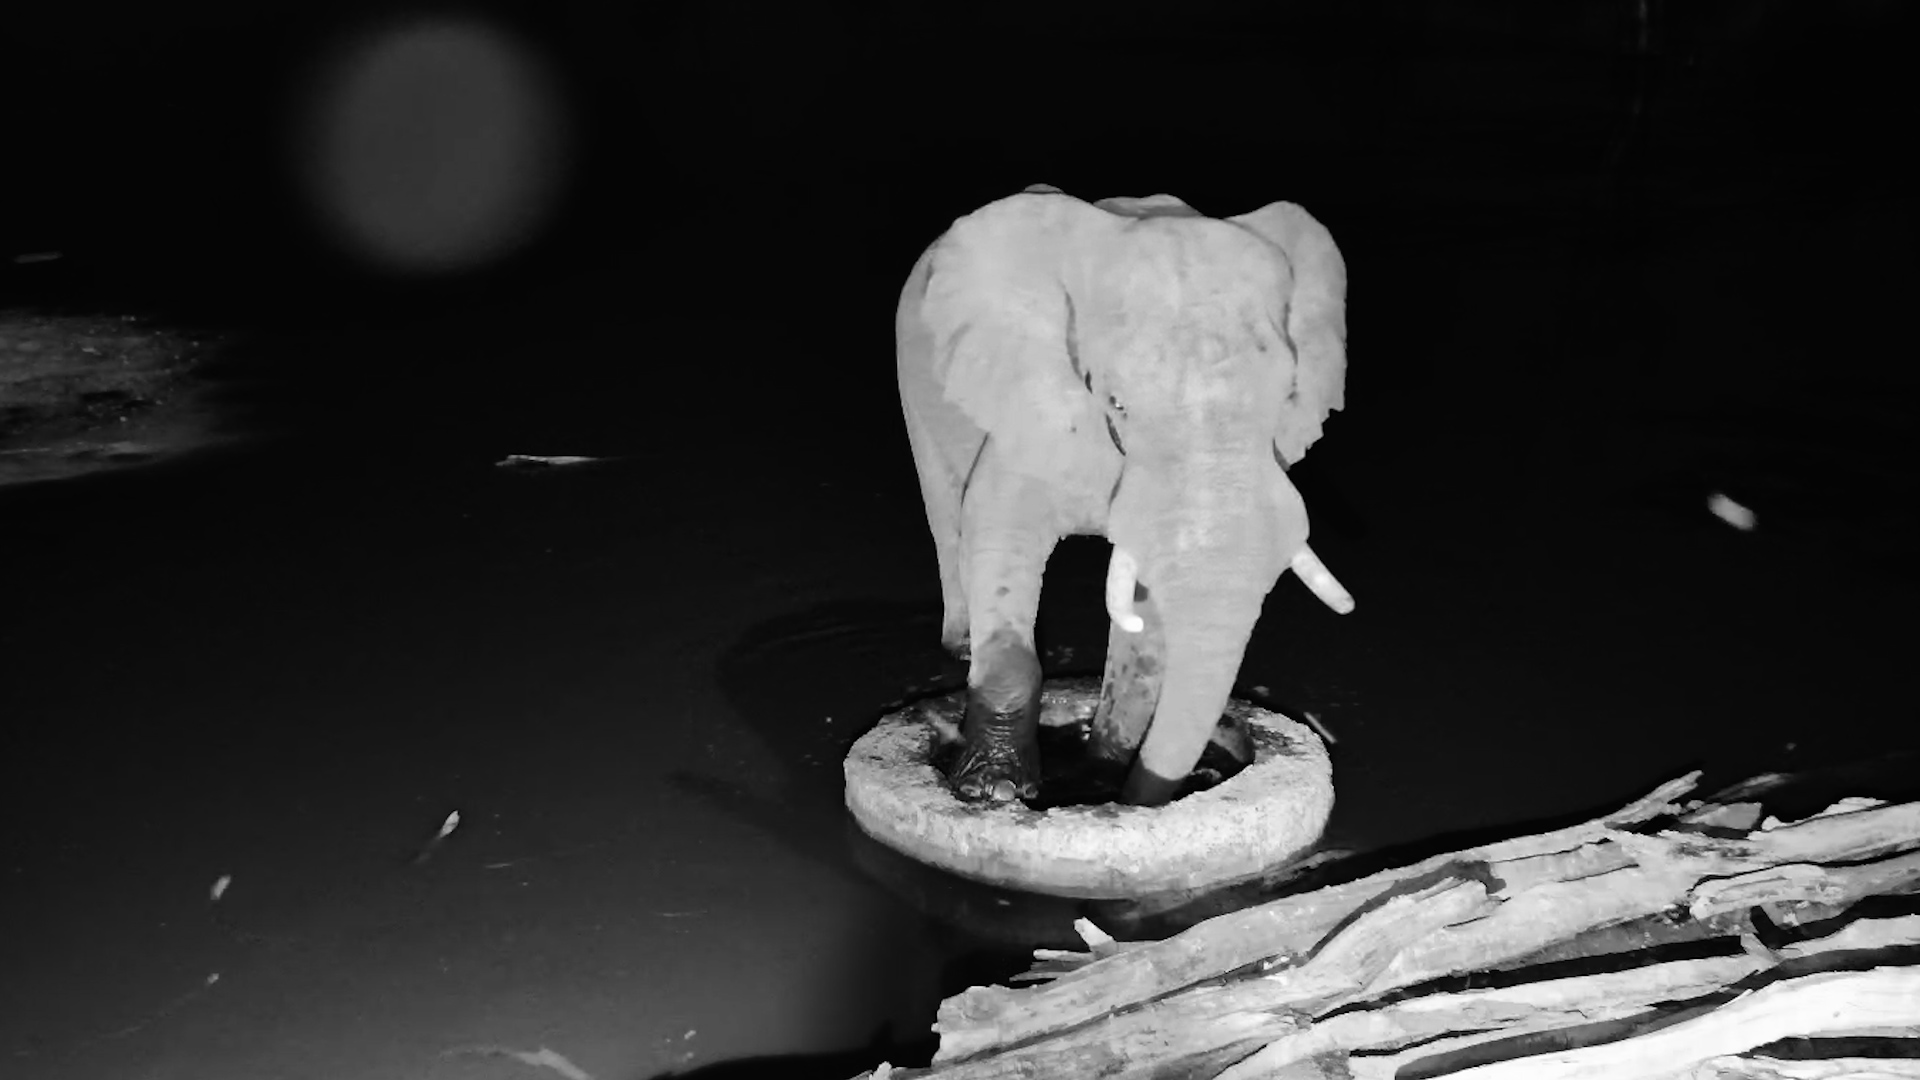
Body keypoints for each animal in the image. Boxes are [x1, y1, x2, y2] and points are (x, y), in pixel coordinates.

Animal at [896, 185, 1355, 808]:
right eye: (1116, 403)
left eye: (1288, 395)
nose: (1144, 797)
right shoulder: (1031, 400)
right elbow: (998, 529)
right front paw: (995, 791)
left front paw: (1107, 768)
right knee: (947, 514)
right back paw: (963, 647)